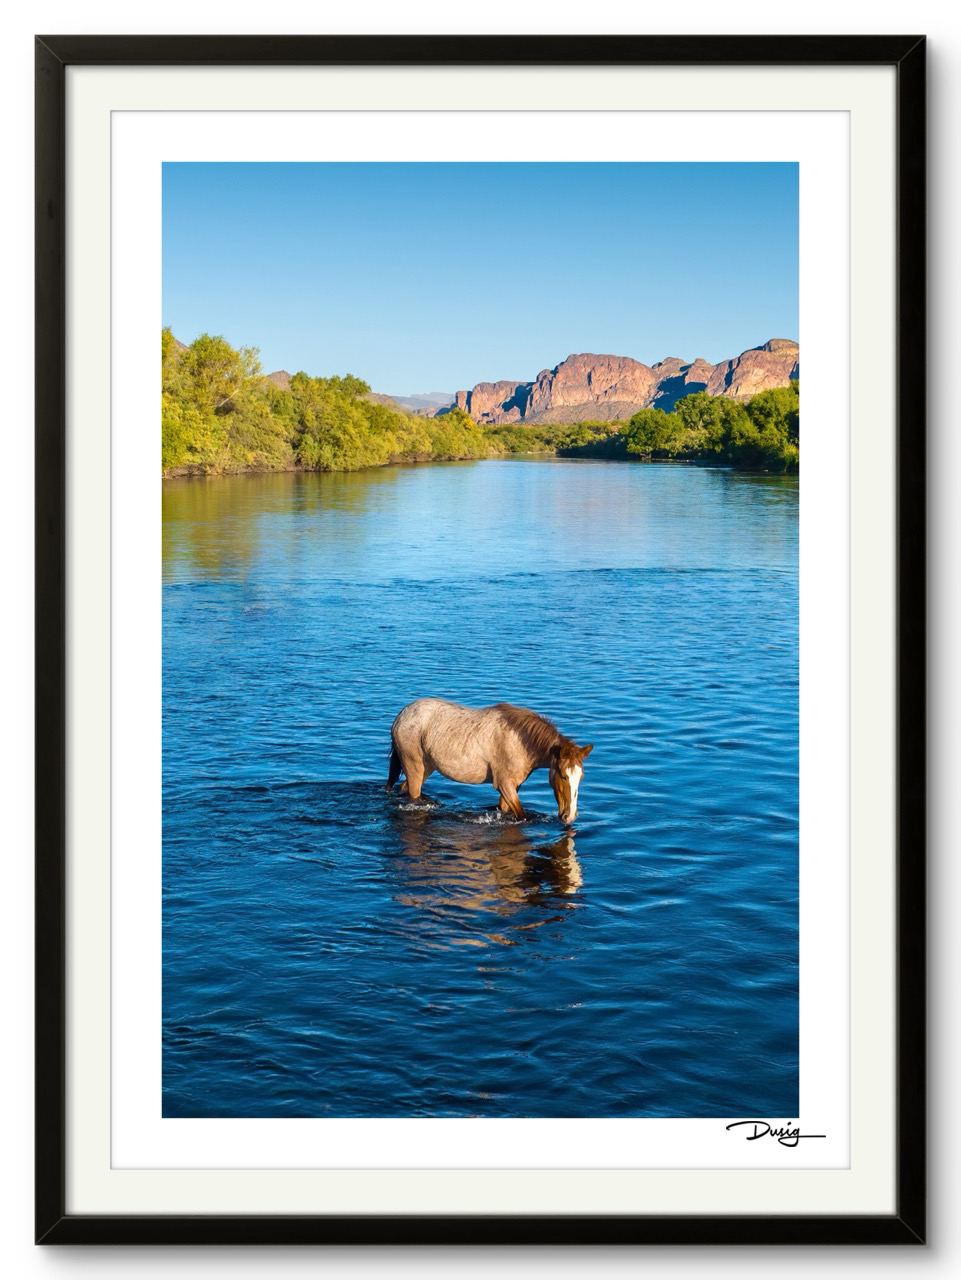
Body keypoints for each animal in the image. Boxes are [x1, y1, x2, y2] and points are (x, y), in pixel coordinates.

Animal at [386, 696, 593, 824]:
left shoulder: (512, 786)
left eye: (581, 777)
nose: (569, 816)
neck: (520, 740)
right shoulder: (505, 784)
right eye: (563, 776)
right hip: (414, 766)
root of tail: (401, 716)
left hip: (426, 767)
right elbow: (523, 817)